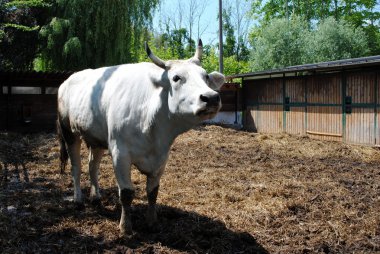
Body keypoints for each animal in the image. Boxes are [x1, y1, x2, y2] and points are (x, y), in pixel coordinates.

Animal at [56, 39, 226, 234]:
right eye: (176, 78)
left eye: (206, 77)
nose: (211, 97)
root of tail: (66, 81)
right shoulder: (120, 153)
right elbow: (126, 193)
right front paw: (125, 227)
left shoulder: (161, 157)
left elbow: (153, 191)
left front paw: (152, 221)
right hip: (69, 133)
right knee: (76, 167)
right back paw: (78, 199)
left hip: (96, 139)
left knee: (93, 166)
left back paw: (96, 196)